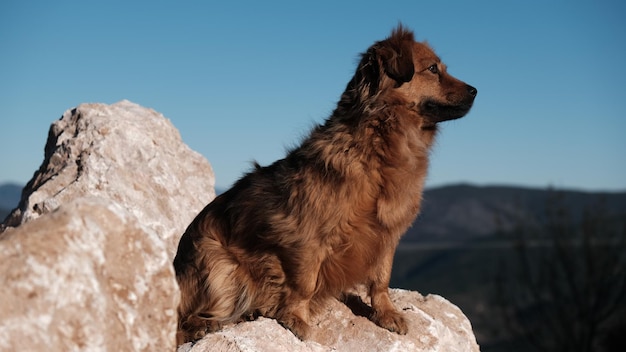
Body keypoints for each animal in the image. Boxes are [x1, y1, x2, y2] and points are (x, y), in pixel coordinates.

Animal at [173, 24, 476, 344]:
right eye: (432, 69)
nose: (475, 91)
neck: (378, 151)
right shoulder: (306, 235)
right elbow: (304, 283)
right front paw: (295, 317)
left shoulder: (386, 234)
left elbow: (381, 279)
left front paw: (385, 313)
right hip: (217, 263)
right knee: (181, 319)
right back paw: (205, 324)